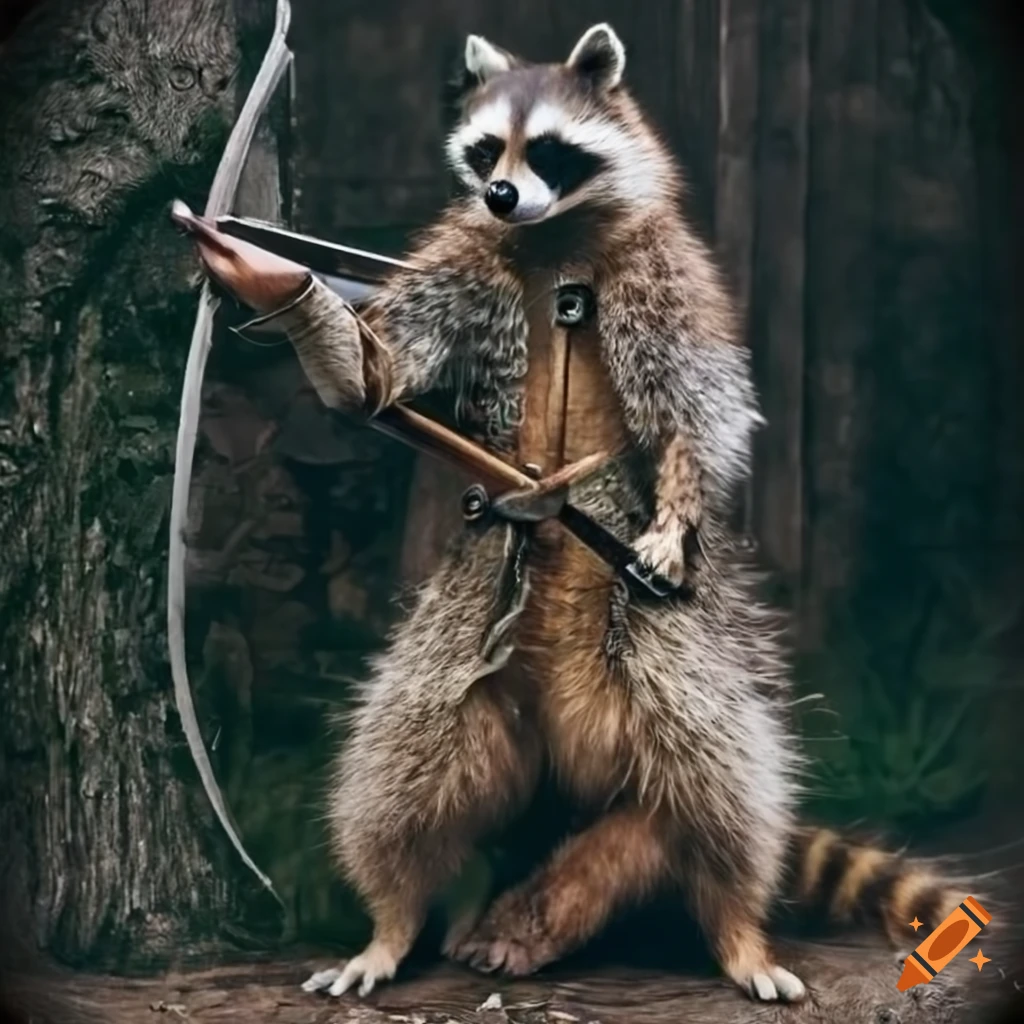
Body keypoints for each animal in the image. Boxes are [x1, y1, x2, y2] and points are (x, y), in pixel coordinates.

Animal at [223, 23, 970, 1005]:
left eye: (546, 149)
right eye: (485, 151)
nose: (500, 194)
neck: (551, 234)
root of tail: (566, 751)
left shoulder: (669, 273)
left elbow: (699, 406)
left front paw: (677, 514)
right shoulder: (457, 263)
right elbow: (382, 371)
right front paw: (299, 305)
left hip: (665, 656)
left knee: (714, 786)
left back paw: (727, 927)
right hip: (464, 648)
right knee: (402, 772)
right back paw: (396, 922)